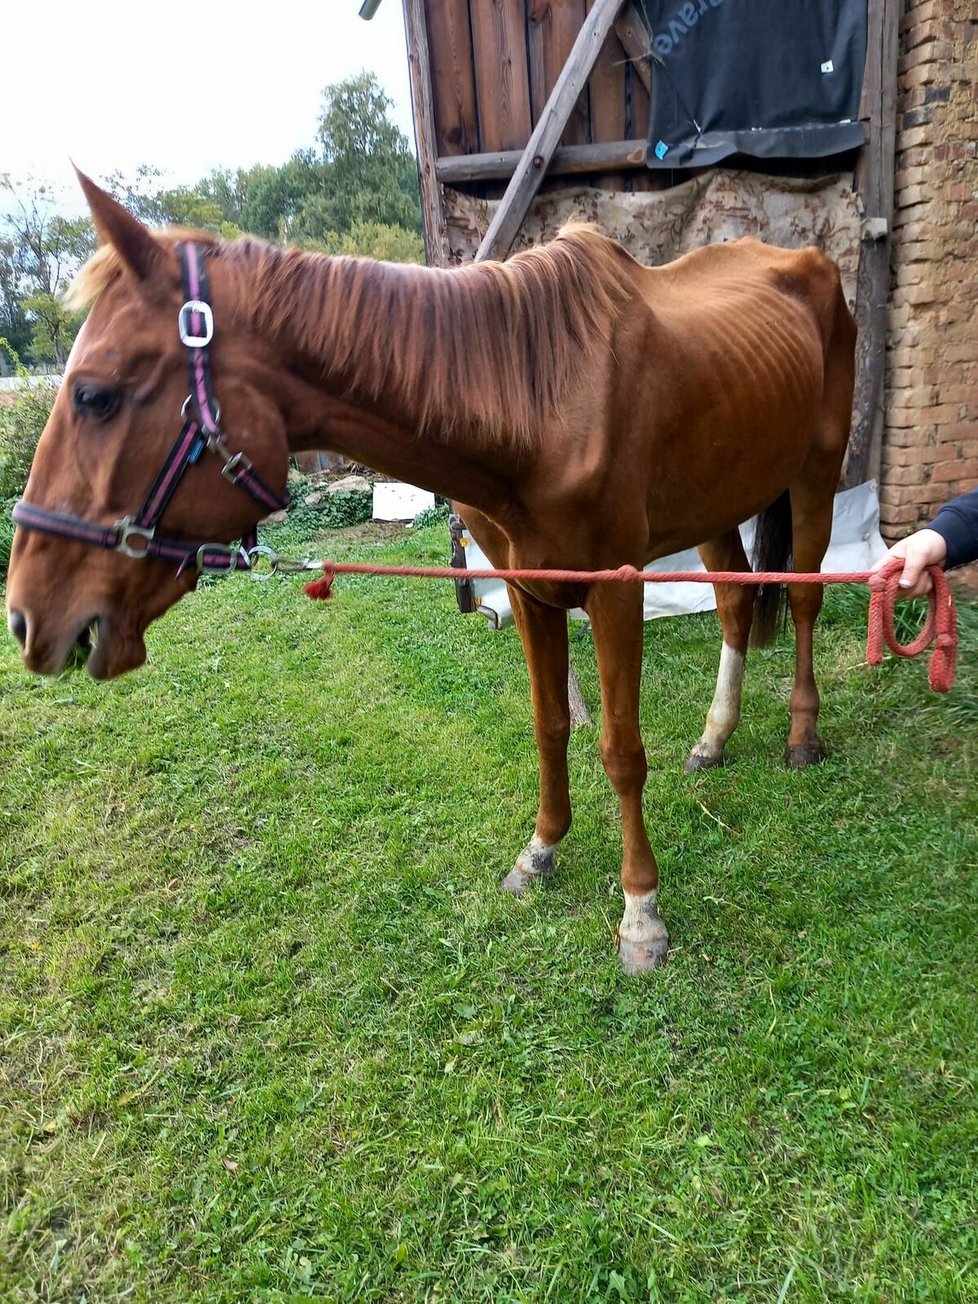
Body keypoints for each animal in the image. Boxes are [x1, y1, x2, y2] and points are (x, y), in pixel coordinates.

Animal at [3, 170, 855, 970]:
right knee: (737, 608)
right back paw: (715, 738)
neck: (541, 397)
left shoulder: (613, 595)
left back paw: (802, 737)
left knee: (804, 605)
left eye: (96, 396)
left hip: (815, 475)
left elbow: (620, 751)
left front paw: (640, 913)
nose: (28, 618)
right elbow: (551, 726)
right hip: (717, 505)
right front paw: (541, 851)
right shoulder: (531, 594)